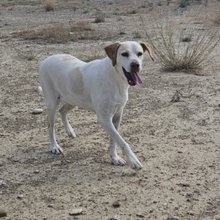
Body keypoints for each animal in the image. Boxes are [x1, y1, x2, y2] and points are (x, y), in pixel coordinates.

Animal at [39, 40, 153, 169]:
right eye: (124, 54)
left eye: (139, 53)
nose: (135, 65)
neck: (115, 77)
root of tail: (46, 59)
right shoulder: (104, 119)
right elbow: (122, 141)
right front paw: (133, 160)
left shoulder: (117, 116)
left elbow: (114, 140)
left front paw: (114, 158)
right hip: (52, 103)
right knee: (50, 127)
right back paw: (54, 146)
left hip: (72, 99)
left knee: (62, 111)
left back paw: (69, 131)